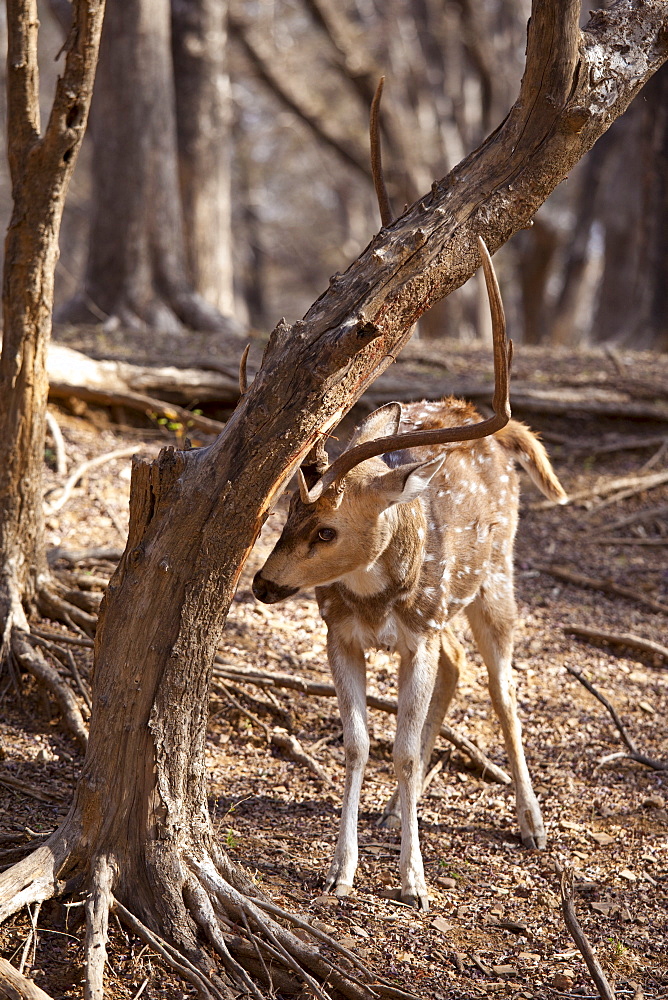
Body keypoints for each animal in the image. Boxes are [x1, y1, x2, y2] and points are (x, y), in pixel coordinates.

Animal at [253, 80, 568, 908]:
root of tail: (499, 432)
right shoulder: (341, 631)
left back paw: (531, 824)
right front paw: (342, 871)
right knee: (460, 672)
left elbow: (397, 745)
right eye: (288, 511)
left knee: (505, 691)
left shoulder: (417, 630)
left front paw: (414, 882)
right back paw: (404, 813)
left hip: (495, 582)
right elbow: (361, 745)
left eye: (327, 530)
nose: (263, 584)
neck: (375, 594)